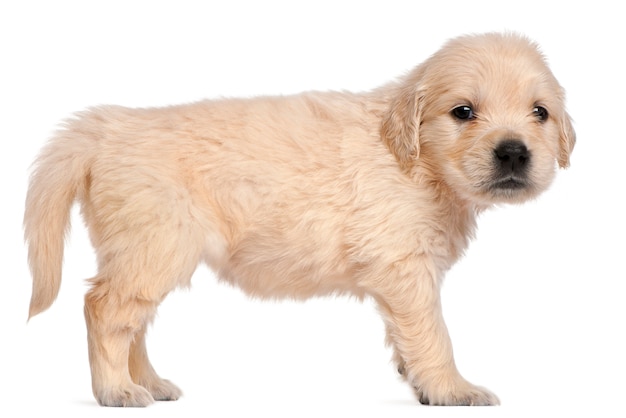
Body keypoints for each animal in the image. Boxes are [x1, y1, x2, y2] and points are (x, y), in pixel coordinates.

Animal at [23, 33, 572, 408]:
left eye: (539, 113)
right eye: (463, 111)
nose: (513, 153)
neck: (415, 161)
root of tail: (107, 128)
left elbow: (409, 336)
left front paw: (416, 379)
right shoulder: (404, 266)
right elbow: (434, 333)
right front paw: (452, 389)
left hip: (144, 251)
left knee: (132, 321)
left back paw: (149, 383)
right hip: (155, 244)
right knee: (104, 309)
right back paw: (116, 390)